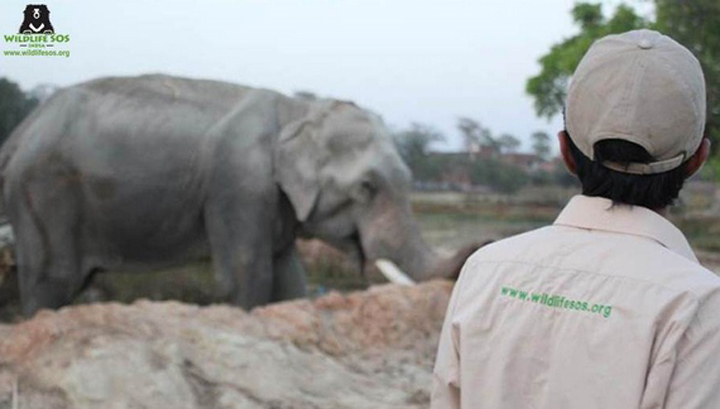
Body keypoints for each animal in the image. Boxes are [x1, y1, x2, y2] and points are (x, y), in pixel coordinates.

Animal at [0, 74, 478, 316]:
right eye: (366, 187)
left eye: (410, 180)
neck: (296, 111)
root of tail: (22, 129)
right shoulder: (239, 185)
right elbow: (249, 274)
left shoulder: (272, 202)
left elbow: (288, 279)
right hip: (42, 193)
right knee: (52, 281)